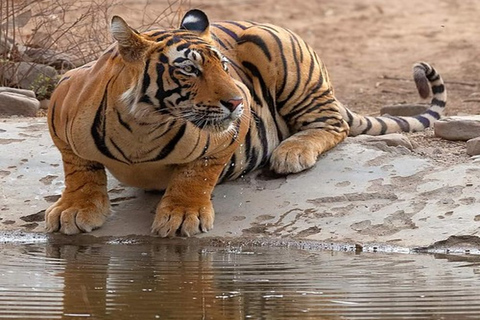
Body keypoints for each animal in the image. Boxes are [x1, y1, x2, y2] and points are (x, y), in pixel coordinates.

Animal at [45, 8, 446, 236]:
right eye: (189, 70)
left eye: (223, 66)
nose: (237, 102)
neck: (142, 127)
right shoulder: (60, 110)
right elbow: (79, 168)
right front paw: (75, 209)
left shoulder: (225, 139)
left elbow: (197, 174)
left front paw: (182, 215)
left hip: (278, 54)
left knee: (333, 123)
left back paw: (291, 154)